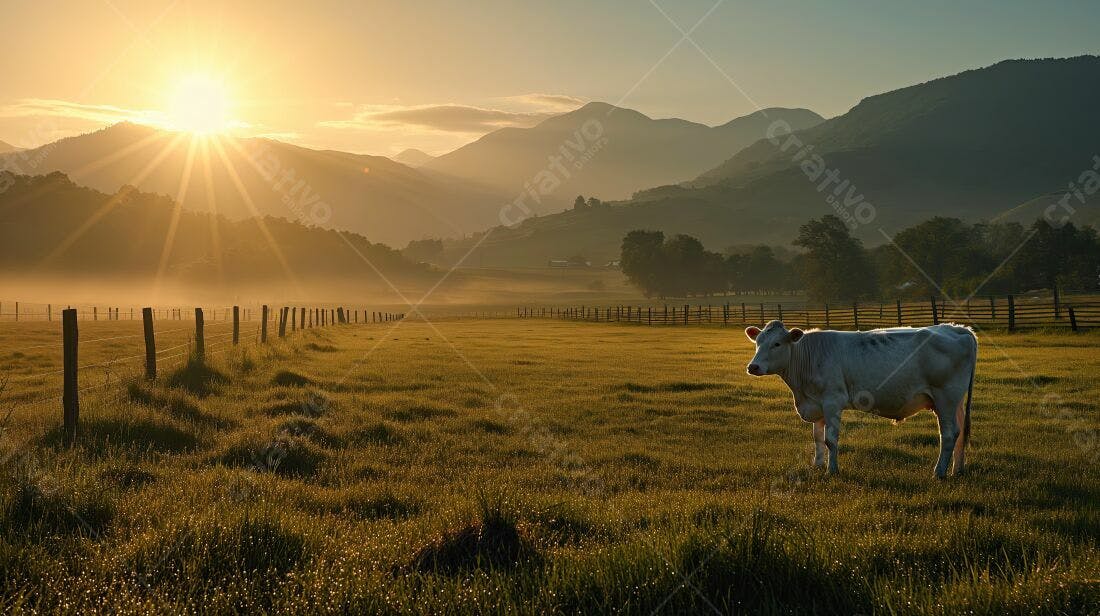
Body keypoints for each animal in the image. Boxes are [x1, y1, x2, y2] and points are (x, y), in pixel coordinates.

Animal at [744, 320, 977, 478]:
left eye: (777, 344)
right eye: (757, 342)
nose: (753, 367)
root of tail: (955, 328)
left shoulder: (832, 401)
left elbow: (830, 439)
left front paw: (832, 470)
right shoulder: (816, 404)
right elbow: (817, 438)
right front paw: (817, 465)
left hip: (945, 397)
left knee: (948, 434)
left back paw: (939, 472)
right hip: (954, 402)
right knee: (959, 433)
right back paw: (957, 470)